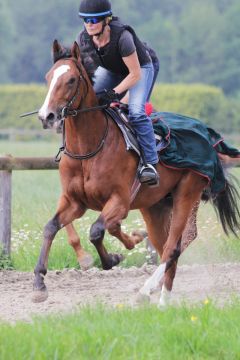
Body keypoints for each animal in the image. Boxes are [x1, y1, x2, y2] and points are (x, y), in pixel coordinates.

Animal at [34, 39, 240, 306]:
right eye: (48, 77)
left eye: (70, 80)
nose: (46, 116)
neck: (88, 149)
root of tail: (209, 137)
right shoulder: (75, 201)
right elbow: (51, 227)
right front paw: (39, 283)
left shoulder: (120, 200)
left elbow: (96, 231)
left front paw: (112, 258)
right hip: (155, 205)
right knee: (165, 245)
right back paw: (157, 292)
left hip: (187, 192)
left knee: (175, 245)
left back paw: (156, 295)